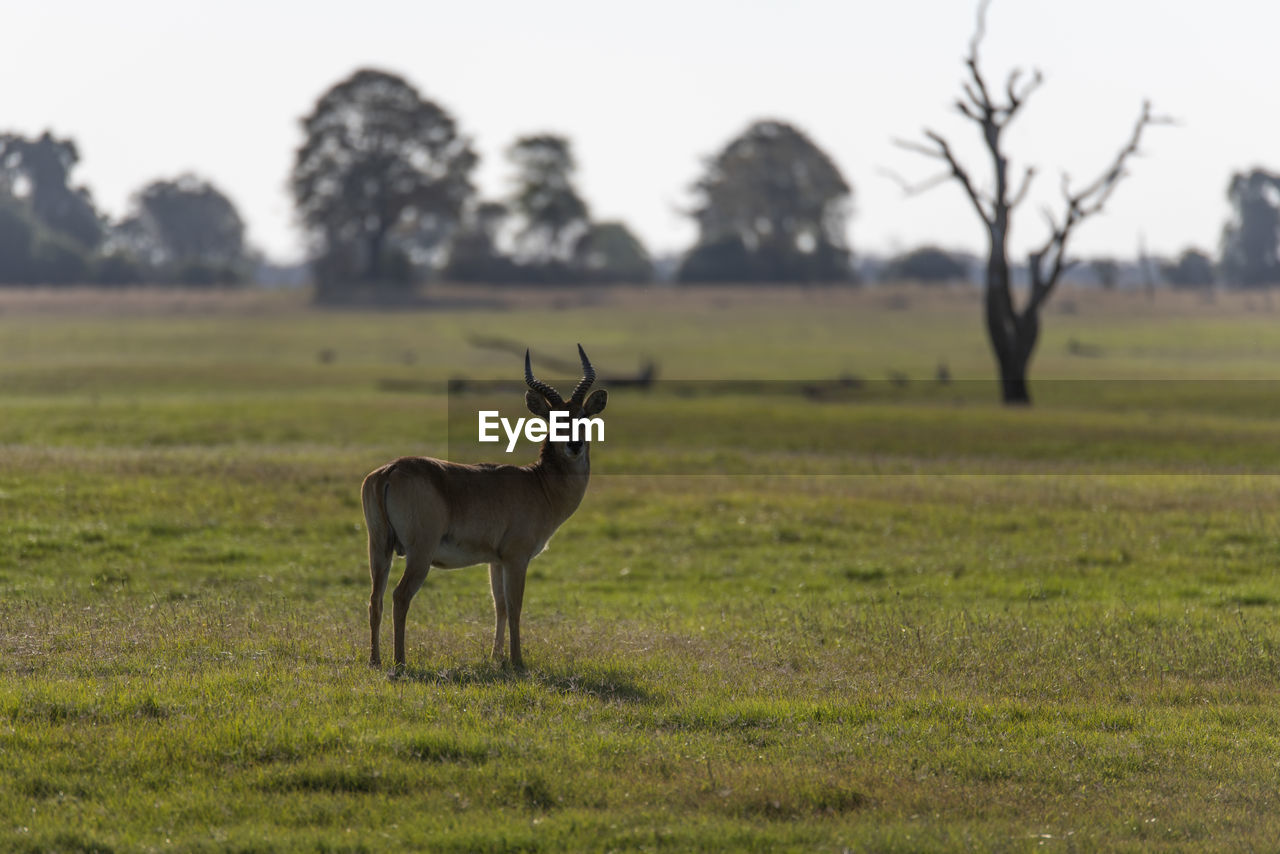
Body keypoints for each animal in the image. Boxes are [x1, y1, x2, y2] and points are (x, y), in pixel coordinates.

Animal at [355, 343, 604, 670]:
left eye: (584, 415)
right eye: (555, 418)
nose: (574, 445)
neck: (538, 484)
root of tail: (390, 471)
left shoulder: (495, 560)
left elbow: (499, 606)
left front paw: (496, 657)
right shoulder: (516, 557)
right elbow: (515, 606)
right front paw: (517, 661)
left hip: (378, 547)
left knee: (375, 598)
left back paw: (375, 660)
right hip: (419, 553)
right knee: (400, 596)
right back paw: (400, 662)